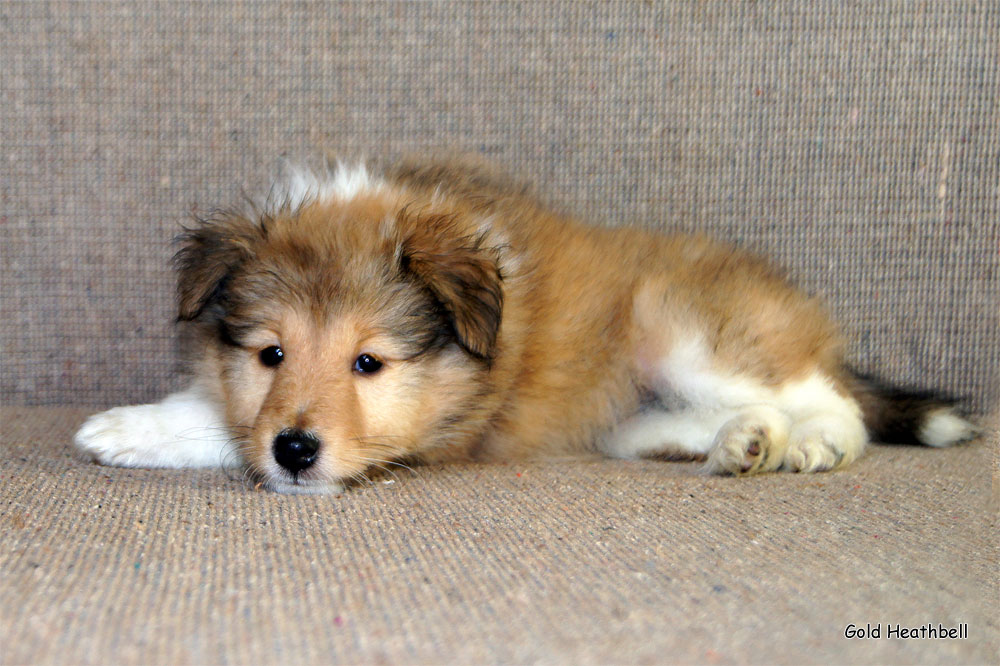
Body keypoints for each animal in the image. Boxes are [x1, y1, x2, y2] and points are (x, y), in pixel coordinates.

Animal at [74, 154, 980, 488]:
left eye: (368, 363)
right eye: (271, 354)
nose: (296, 451)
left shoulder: (438, 432)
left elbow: (221, 427)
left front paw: (126, 428)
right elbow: (231, 416)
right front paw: (140, 426)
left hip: (682, 327)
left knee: (836, 402)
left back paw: (806, 444)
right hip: (636, 402)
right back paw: (739, 442)